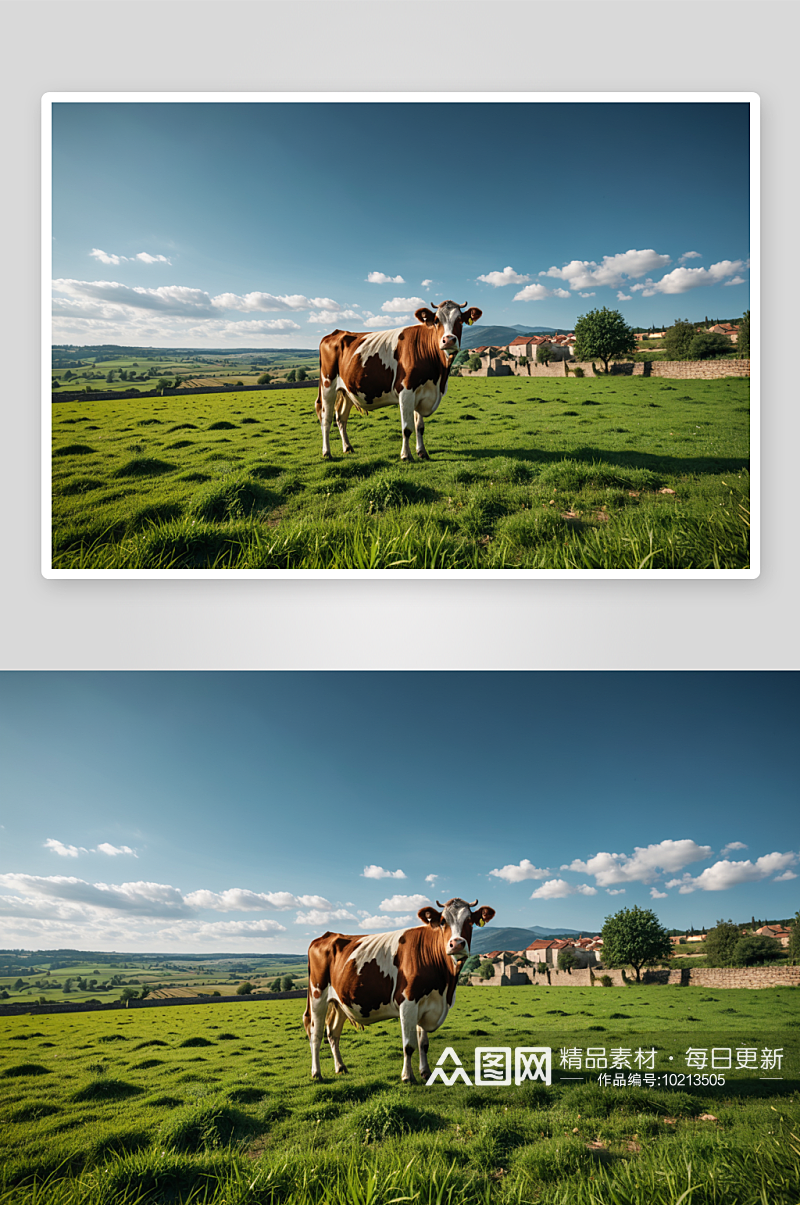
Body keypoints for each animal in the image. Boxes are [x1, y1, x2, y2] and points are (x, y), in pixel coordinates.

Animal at [304, 896, 493, 1084]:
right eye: (442, 921)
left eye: (470, 921)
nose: (457, 944)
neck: (444, 987)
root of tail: (327, 936)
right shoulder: (408, 1002)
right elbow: (409, 1045)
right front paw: (407, 1077)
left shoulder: (427, 1004)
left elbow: (423, 1044)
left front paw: (426, 1072)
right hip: (317, 995)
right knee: (316, 1034)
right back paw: (316, 1073)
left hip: (340, 1001)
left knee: (333, 1033)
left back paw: (340, 1067)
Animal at [318, 301, 481, 460]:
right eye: (436, 320)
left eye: (460, 320)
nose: (448, 340)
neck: (438, 378)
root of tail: (336, 333)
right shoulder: (406, 391)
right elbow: (407, 428)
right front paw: (406, 455)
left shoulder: (422, 393)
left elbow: (419, 427)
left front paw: (422, 452)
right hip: (328, 384)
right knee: (326, 418)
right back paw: (326, 452)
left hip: (347, 390)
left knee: (341, 418)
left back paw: (347, 447)